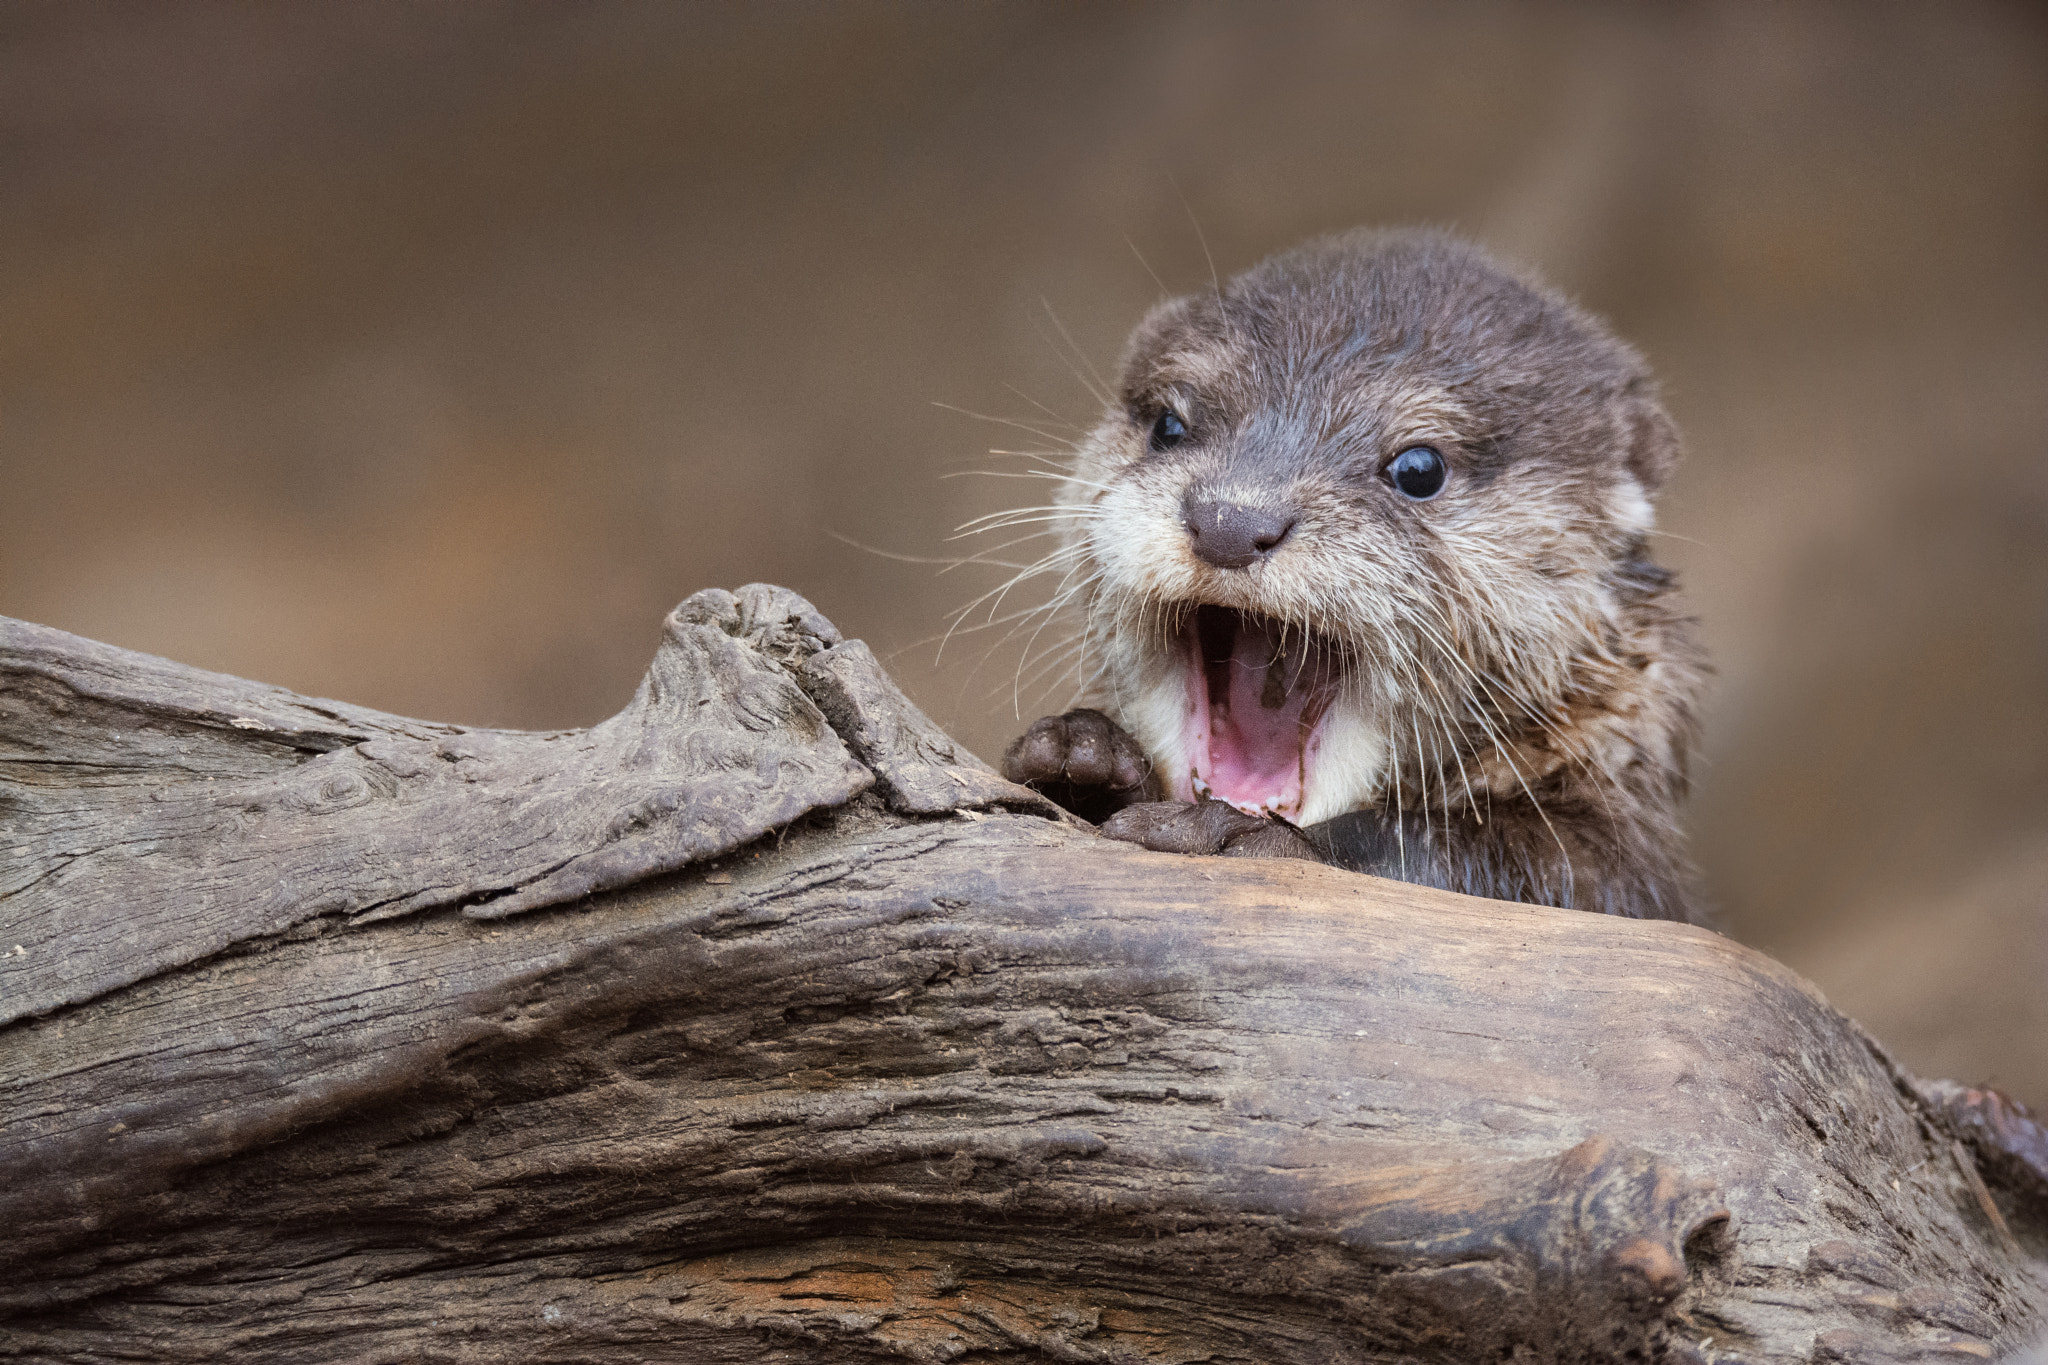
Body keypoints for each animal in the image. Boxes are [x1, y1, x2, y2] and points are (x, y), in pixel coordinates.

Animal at [999, 229, 1703, 925]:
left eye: (1419, 468)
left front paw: (1233, 835)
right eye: (1168, 426)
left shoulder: (1619, 857)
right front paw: (1083, 753)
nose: (1230, 519)